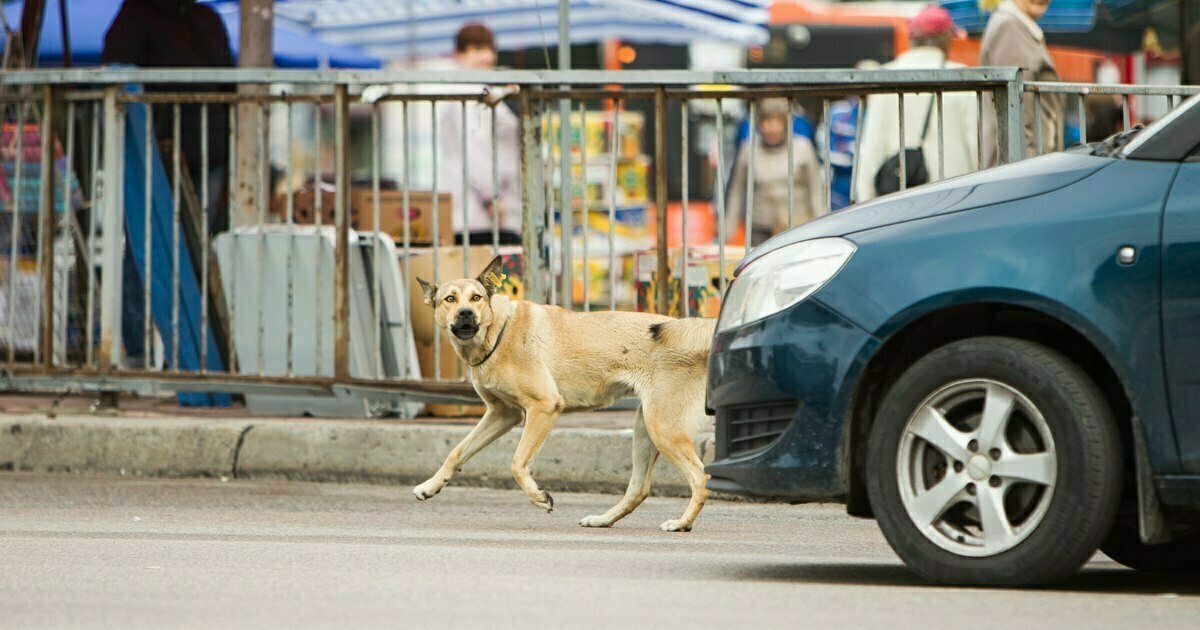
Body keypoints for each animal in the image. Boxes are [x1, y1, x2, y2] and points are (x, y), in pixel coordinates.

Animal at [412, 255, 715, 530]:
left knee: (701, 478)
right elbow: (457, 452)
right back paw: (603, 520)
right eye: (450, 299)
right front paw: (431, 485)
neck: (498, 331)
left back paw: (682, 523)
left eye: (476, 298)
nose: (466, 313)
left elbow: (517, 463)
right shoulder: (503, 414)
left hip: (661, 428)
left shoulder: (543, 407)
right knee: (638, 489)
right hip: (645, 429)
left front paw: (538, 497)